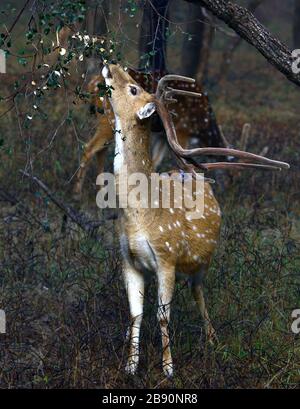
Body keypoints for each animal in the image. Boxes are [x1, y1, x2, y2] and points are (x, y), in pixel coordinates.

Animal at [102, 63, 290, 376]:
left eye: (133, 89)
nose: (112, 66)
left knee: (198, 291)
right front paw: (130, 366)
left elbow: (162, 317)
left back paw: (212, 338)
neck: (140, 216)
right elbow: (136, 315)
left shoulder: (167, 257)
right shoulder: (128, 260)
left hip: (203, 261)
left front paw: (168, 368)